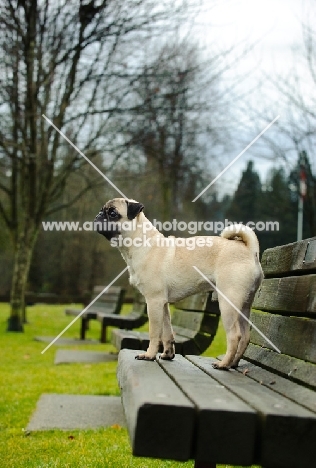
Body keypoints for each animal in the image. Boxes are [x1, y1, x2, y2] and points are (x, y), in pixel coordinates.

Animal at [94, 197, 264, 370]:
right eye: (102, 210)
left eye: (113, 213)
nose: (98, 215)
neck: (140, 244)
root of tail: (248, 250)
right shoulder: (162, 304)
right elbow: (167, 331)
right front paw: (168, 354)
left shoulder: (154, 301)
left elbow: (155, 332)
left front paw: (149, 355)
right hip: (244, 305)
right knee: (245, 335)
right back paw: (234, 363)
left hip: (228, 302)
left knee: (235, 336)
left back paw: (224, 364)